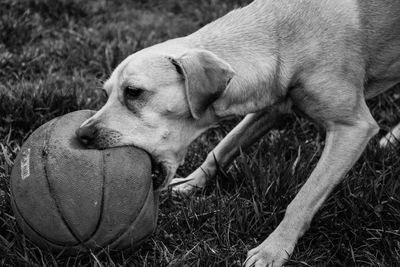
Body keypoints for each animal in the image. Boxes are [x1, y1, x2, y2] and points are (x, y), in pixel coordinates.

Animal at [76, 1, 400, 266]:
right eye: (105, 93)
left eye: (133, 92)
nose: (81, 134)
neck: (280, 41)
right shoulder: (272, 107)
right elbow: (221, 148)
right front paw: (192, 183)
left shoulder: (352, 129)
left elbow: (304, 198)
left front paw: (274, 249)